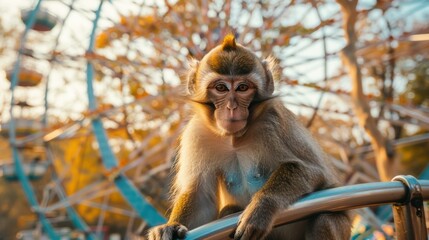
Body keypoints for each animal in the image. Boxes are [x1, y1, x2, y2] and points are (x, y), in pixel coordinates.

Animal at [148, 34, 352, 240]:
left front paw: (261, 207)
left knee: (324, 219)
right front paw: (171, 226)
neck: (234, 139)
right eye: (220, 88)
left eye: (242, 87)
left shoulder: (275, 122)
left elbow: (312, 170)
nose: (231, 107)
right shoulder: (197, 134)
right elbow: (200, 197)